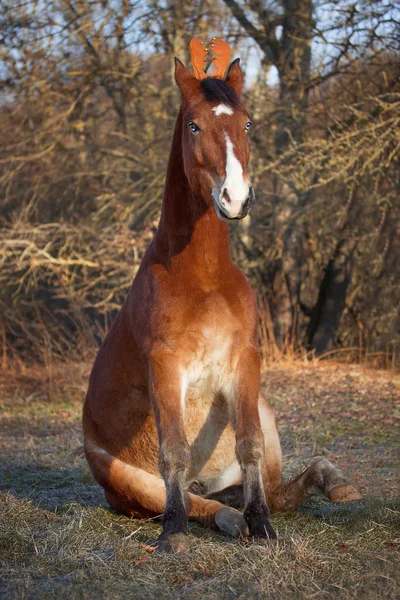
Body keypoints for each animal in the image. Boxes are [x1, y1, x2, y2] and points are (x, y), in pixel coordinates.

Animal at [83, 38, 360, 552]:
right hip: (127, 481)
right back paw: (223, 519)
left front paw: (263, 524)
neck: (203, 276)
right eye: (194, 124)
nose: (234, 198)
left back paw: (325, 489)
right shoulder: (166, 367)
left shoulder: (245, 362)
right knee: (196, 501)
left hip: (263, 414)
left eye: (246, 122)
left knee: (273, 489)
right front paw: (173, 533)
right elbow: (173, 450)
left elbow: (249, 443)